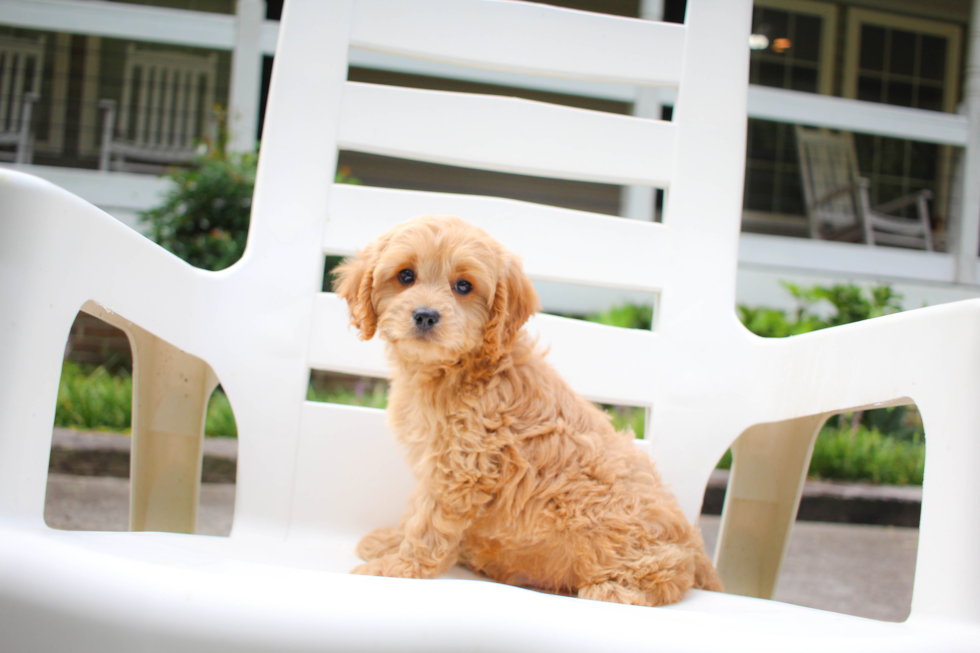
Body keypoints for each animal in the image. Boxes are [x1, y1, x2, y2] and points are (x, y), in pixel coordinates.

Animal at [334, 215, 724, 608]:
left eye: (463, 286)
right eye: (405, 276)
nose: (426, 316)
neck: (461, 370)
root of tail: (696, 547)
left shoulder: (462, 468)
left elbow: (428, 526)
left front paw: (395, 570)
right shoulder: (437, 463)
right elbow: (415, 509)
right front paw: (389, 543)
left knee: (669, 573)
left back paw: (610, 588)